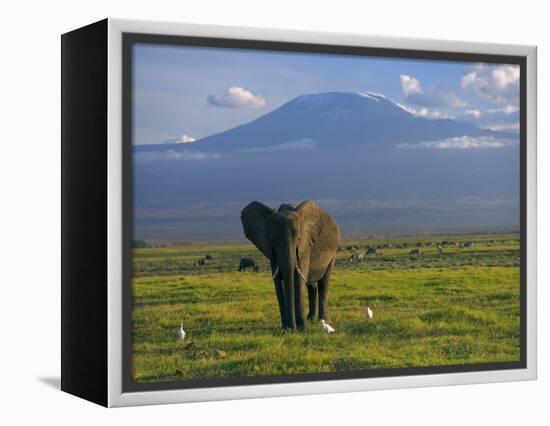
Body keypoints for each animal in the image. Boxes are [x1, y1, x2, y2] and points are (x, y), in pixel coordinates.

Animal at [242, 201, 340, 332]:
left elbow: (298, 280)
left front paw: (302, 329)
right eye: (272, 241)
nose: (292, 328)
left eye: (298, 239)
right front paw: (286, 328)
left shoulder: (305, 247)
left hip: (333, 253)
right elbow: (278, 283)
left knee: (324, 282)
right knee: (311, 285)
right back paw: (310, 319)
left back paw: (323, 321)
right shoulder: (272, 254)